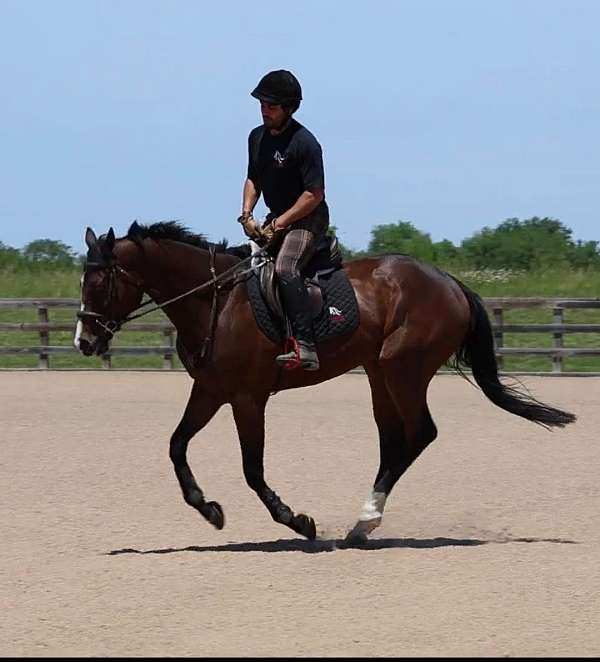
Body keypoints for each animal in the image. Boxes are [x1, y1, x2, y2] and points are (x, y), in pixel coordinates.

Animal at [75, 221, 576, 542]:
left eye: (99, 284)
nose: (83, 340)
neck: (216, 302)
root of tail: (450, 282)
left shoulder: (248, 397)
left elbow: (252, 469)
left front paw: (297, 520)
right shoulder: (211, 390)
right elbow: (176, 445)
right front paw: (209, 509)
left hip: (403, 367)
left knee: (419, 433)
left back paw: (366, 518)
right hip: (379, 373)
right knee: (394, 438)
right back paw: (362, 523)